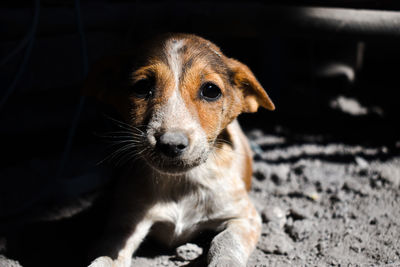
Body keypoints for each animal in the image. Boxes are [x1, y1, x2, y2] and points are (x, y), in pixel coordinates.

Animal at [85, 34, 276, 267]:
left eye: (211, 90)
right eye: (142, 87)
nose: (171, 144)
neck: (181, 184)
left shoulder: (244, 217)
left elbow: (226, 242)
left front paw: (224, 261)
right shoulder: (125, 223)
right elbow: (108, 253)